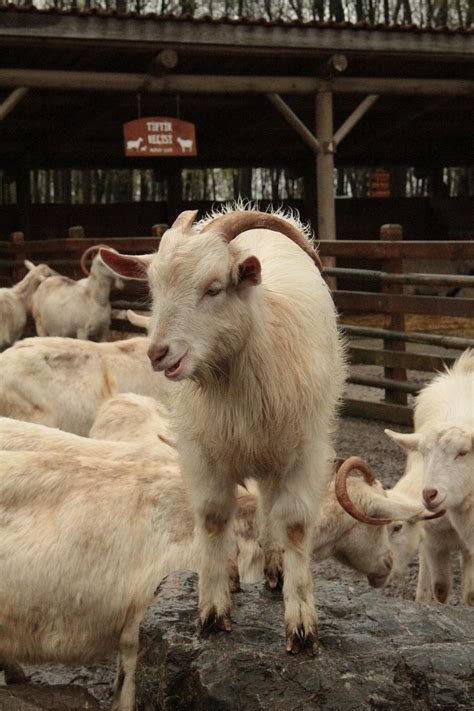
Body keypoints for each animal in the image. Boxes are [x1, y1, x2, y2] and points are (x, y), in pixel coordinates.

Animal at [101, 205, 346, 654]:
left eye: (214, 288)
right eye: (153, 289)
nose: (158, 353)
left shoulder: (304, 451)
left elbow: (294, 523)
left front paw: (302, 626)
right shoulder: (203, 452)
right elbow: (214, 517)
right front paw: (213, 611)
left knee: (269, 505)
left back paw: (274, 567)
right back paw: (234, 574)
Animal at [386, 349, 474, 606]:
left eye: (463, 452)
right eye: (424, 453)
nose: (429, 494)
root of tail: (460, 370)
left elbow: (470, 595)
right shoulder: (434, 543)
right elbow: (441, 588)